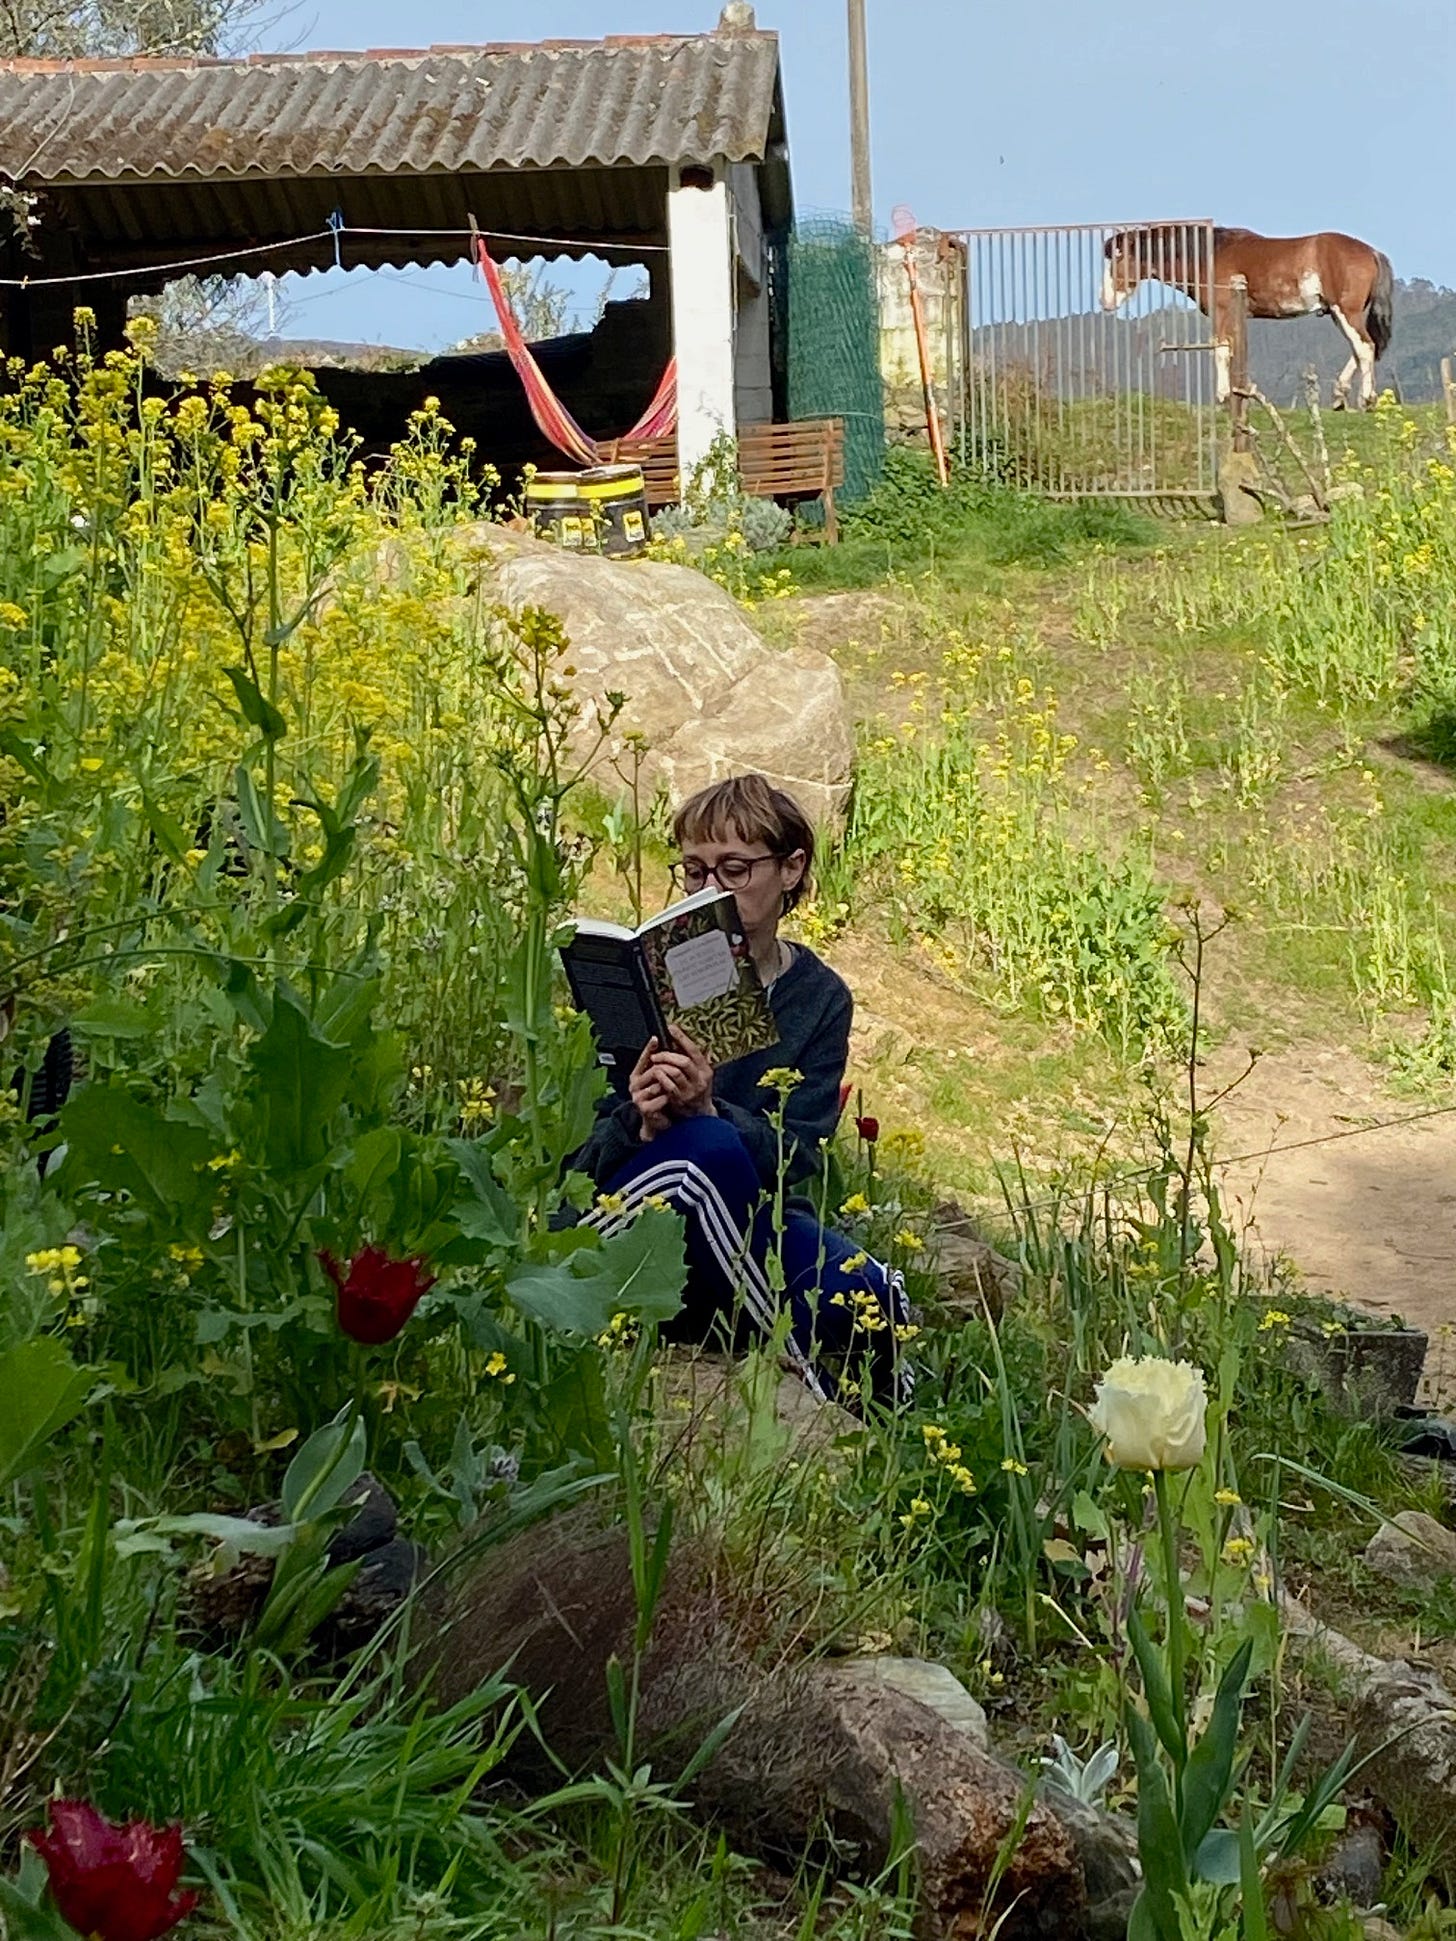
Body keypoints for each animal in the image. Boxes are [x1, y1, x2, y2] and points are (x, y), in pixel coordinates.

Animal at [1100, 225, 1394, 409]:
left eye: (1118, 259)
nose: (1104, 300)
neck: (1210, 256)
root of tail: (1372, 252)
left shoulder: (1222, 313)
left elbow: (1219, 351)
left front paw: (1221, 397)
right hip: (1337, 312)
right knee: (1361, 349)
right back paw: (1340, 396)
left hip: (1346, 311)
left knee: (1365, 347)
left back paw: (1366, 398)